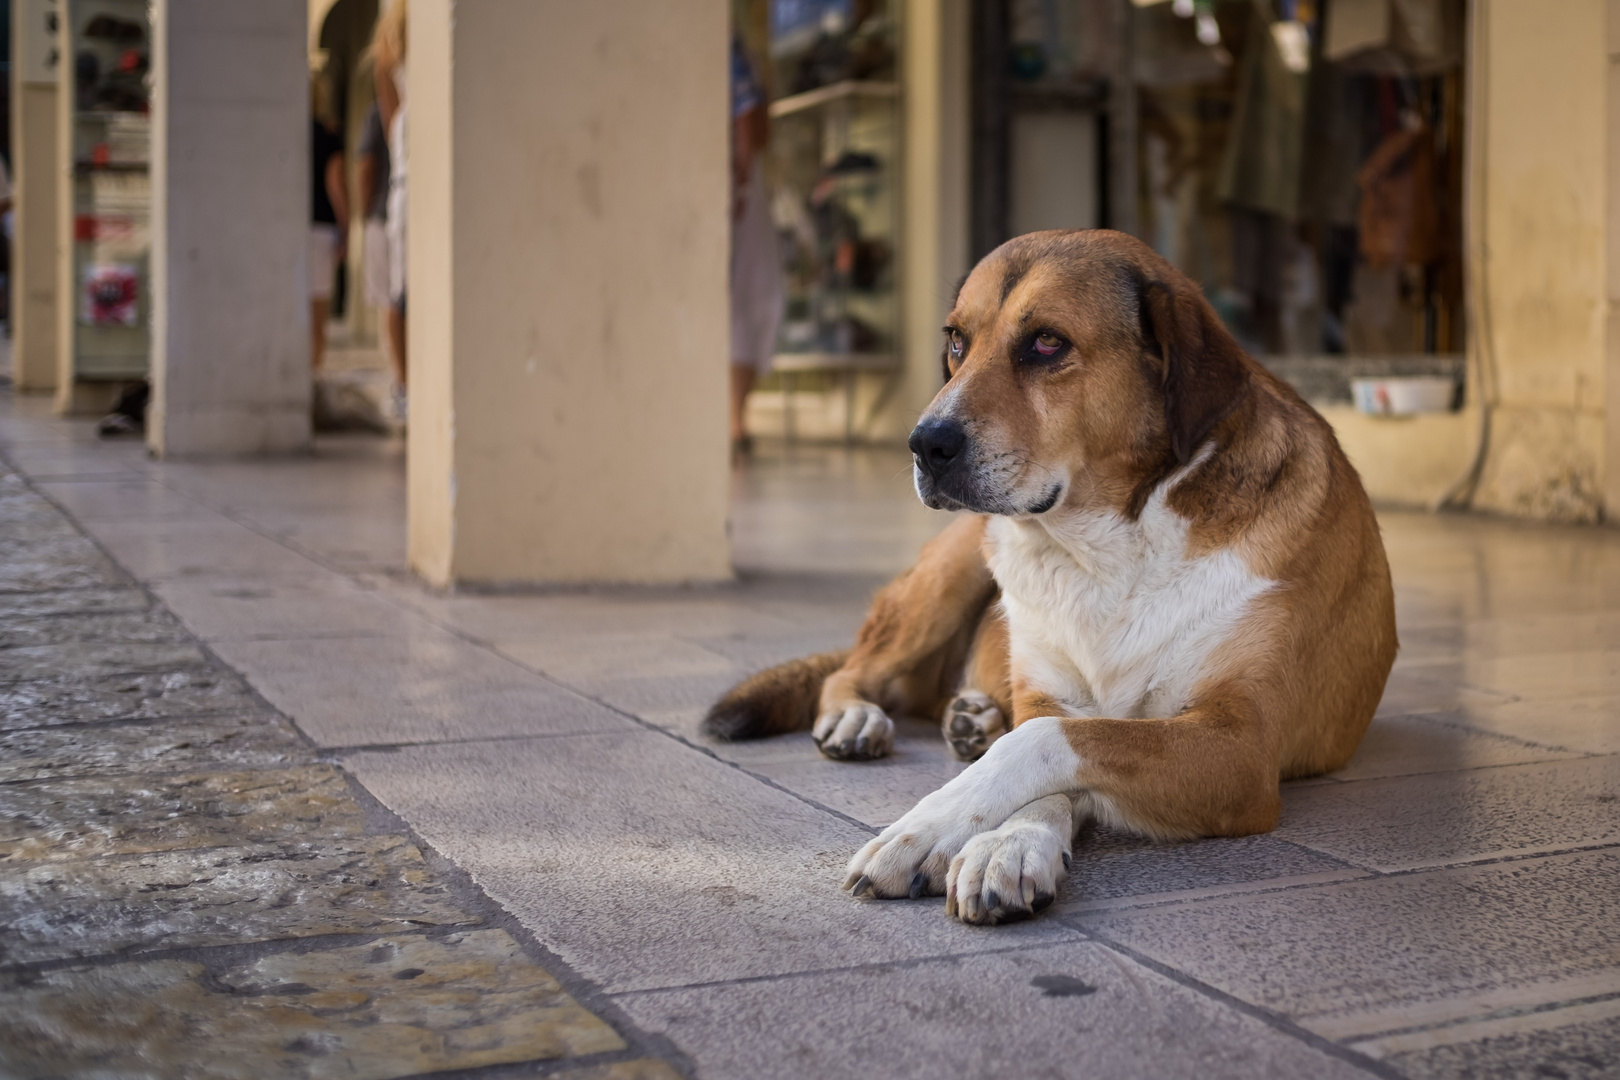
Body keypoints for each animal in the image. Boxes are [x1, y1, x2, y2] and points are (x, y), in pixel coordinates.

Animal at [703, 228, 1399, 919]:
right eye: (957, 340)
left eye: (1046, 342)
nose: (924, 444)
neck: (1106, 551)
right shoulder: (1056, 693)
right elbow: (1048, 744)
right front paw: (1003, 841)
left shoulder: (1243, 748)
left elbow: (1043, 742)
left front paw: (948, 831)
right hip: (953, 567)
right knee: (850, 671)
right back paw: (861, 717)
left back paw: (973, 719)